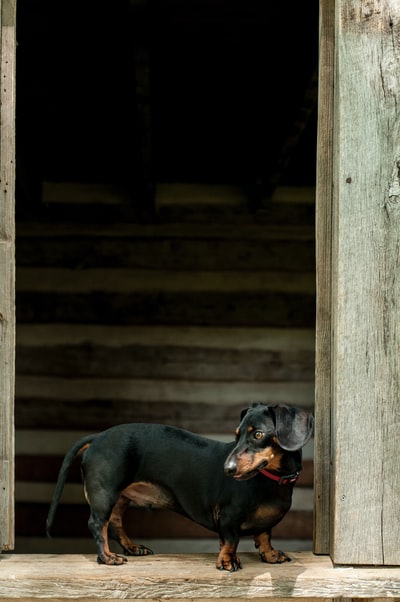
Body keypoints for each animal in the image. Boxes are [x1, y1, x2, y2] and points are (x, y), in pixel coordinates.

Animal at [47, 400, 314, 568]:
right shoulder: (227, 517)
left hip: (120, 497)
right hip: (105, 493)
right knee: (97, 524)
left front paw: (270, 554)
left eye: (258, 434)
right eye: (237, 435)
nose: (227, 469)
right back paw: (107, 557)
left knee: (114, 524)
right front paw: (228, 560)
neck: (270, 480)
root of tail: (98, 437)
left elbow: (265, 534)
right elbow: (231, 540)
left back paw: (132, 548)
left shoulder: (264, 523)